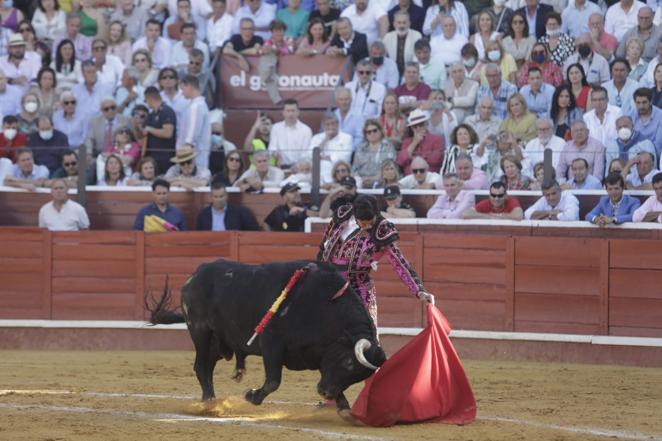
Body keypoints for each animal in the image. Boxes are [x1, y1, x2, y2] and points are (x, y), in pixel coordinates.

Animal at [144, 258, 384, 410]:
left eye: (359, 376)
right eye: (349, 364)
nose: (325, 394)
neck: (324, 305)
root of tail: (194, 276)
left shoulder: (320, 358)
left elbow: (329, 378)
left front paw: (344, 408)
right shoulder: (271, 344)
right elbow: (273, 381)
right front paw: (251, 396)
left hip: (219, 342)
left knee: (207, 365)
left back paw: (208, 400)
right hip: (200, 330)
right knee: (201, 365)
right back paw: (210, 402)